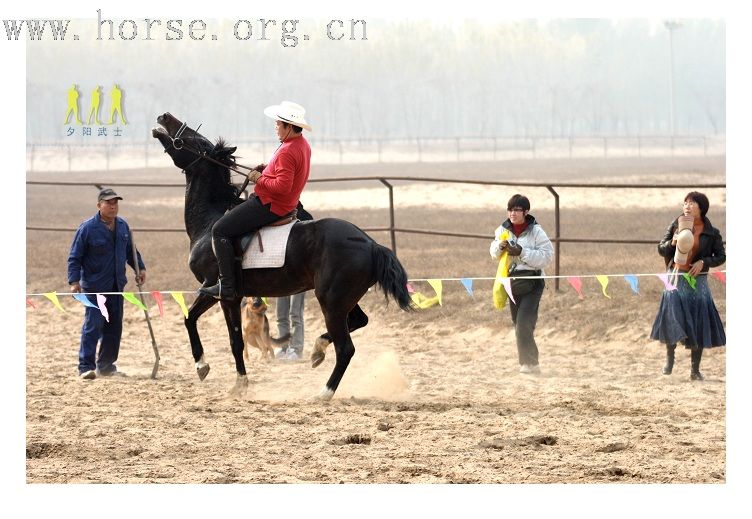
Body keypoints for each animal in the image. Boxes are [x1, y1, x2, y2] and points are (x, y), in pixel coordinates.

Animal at [151, 112, 414, 398]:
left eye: (196, 141)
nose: (165, 116)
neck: (210, 222)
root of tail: (371, 244)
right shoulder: (223, 295)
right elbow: (192, 319)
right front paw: (207, 367)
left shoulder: (222, 293)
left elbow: (231, 339)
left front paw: (226, 377)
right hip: (343, 299)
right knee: (358, 321)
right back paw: (317, 349)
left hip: (331, 301)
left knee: (346, 348)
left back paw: (324, 392)